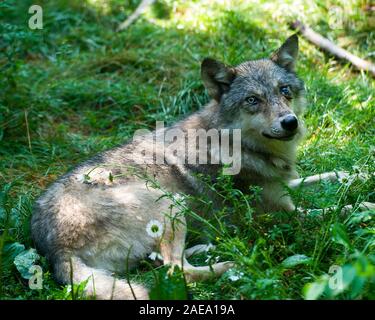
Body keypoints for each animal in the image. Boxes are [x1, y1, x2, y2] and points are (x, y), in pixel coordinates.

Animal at [30, 35, 374, 300]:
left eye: (284, 91)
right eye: (253, 100)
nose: (291, 122)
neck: (240, 145)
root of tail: (53, 248)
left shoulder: (287, 184)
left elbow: (334, 175)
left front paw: (362, 174)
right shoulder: (285, 215)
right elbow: (340, 209)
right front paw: (366, 206)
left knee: (167, 262)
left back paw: (206, 248)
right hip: (170, 203)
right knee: (176, 271)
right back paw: (238, 262)